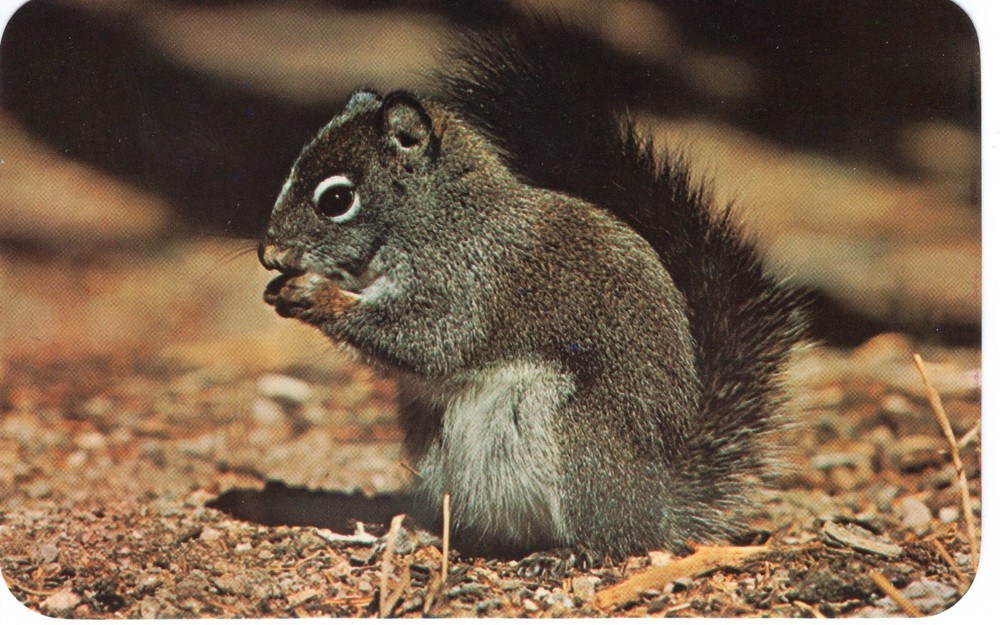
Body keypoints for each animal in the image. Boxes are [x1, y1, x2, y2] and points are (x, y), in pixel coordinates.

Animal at [258, 19, 806, 566]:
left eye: (336, 198)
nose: (269, 253)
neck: (437, 217)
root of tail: (661, 505)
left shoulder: (468, 281)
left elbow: (431, 340)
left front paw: (317, 296)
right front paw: (284, 288)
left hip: (579, 444)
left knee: (621, 538)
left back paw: (571, 552)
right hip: (437, 448)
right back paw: (428, 534)